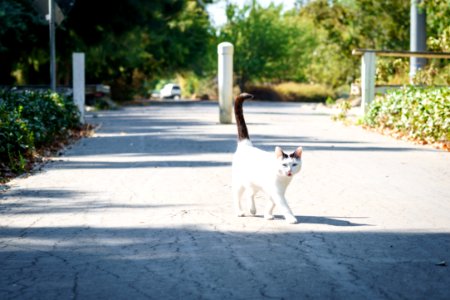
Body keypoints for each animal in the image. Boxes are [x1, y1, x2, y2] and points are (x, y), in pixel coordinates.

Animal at [232, 92, 302, 224]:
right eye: (284, 164)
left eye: (294, 164)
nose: (289, 171)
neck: (282, 179)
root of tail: (246, 145)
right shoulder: (277, 193)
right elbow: (284, 206)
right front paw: (291, 218)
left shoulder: (276, 192)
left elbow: (271, 204)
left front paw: (268, 215)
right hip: (239, 183)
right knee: (237, 196)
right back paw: (239, 211)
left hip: (253, 182)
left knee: (250, 193)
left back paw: (252, 210)